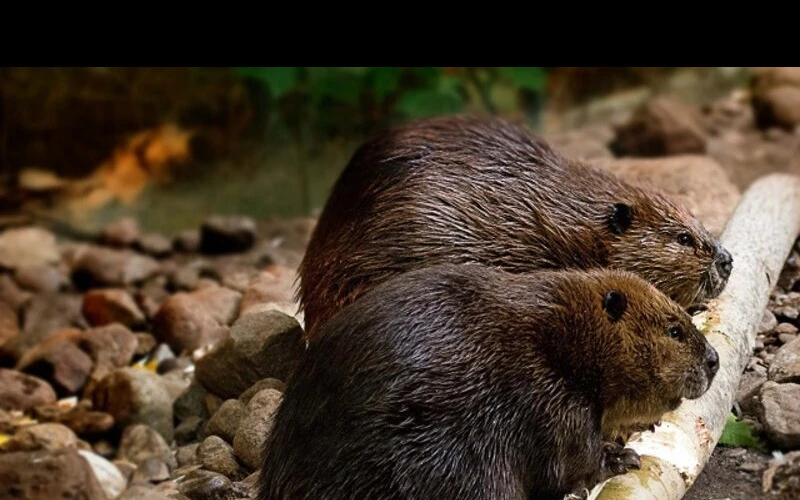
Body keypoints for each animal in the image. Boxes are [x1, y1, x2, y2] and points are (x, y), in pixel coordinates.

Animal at [260, 264, 720, 498]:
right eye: (675, 330)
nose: (714, 360)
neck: (558, 338)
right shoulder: (551, 398)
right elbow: (571, 462)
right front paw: (622, 457)